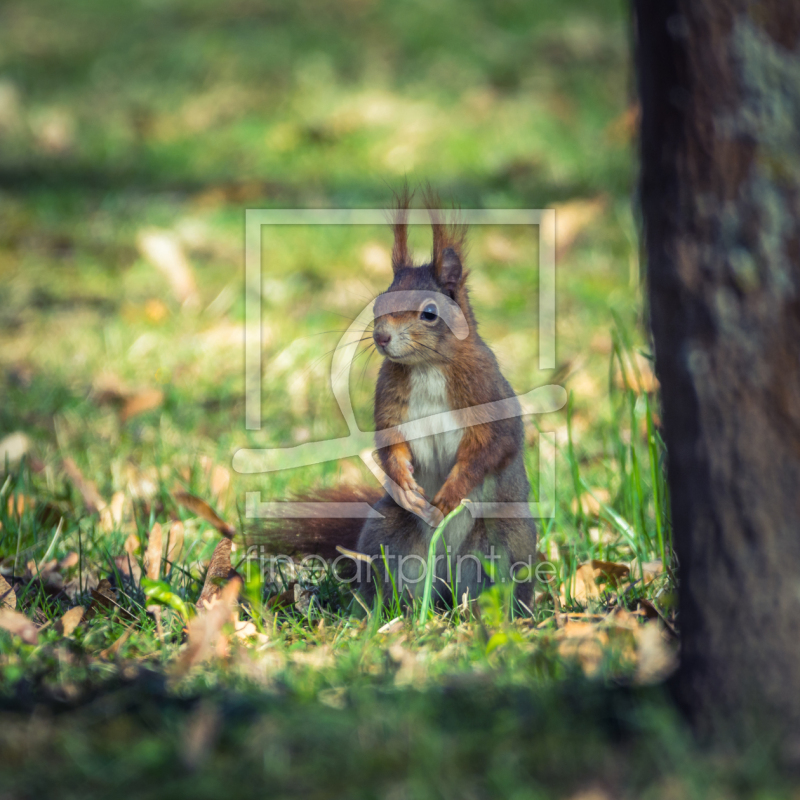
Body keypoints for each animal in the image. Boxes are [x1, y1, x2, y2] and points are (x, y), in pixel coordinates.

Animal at [262, 188, 536, 608]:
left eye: (429, 313)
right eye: (379, 302)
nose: (381, 337)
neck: (426, 366)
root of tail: (444, 583)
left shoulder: (488, 396)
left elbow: (490, 447)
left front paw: (448, 497)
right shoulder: (390, 401)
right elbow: (389, 442)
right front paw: (406, 485)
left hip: (504, 541)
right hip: (389, 536)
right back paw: (391, 610)